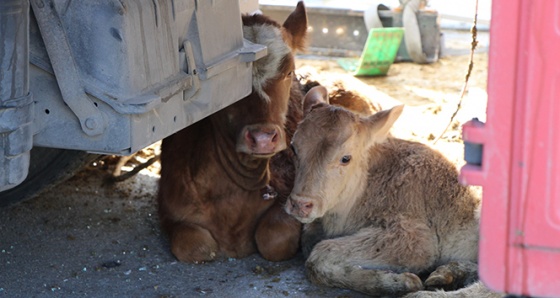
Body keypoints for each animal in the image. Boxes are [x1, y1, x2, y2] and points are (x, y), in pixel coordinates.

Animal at [284, 86, 486, 296]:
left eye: (346, 158)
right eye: (293, 147)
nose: (300, 204)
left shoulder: (416, 239)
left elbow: (319, 253)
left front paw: (400, 281)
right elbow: (308, 241)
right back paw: (450, 273)